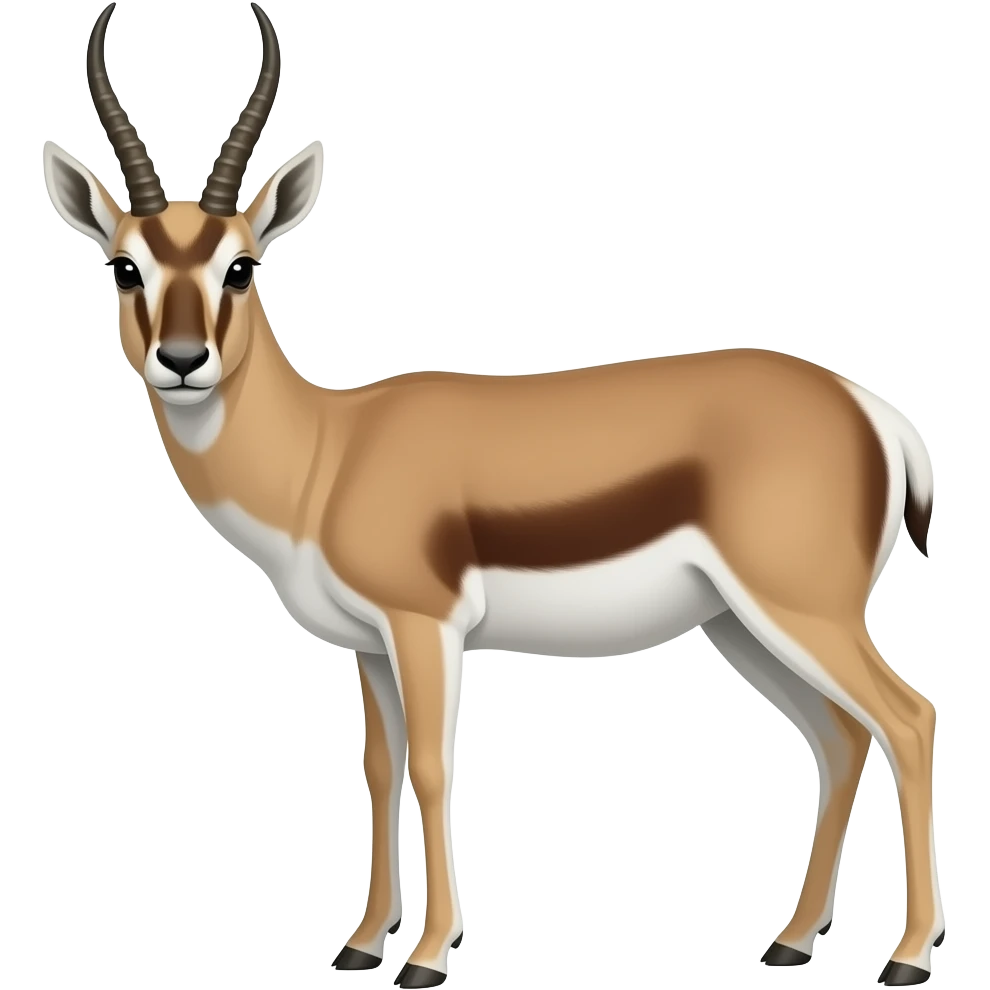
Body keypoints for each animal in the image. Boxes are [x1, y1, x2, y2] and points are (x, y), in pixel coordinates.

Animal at [42, 4, 941, 987]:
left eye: (243, 267)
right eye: (124, 268)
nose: (183, 360)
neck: (328, 453)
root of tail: (870, 410)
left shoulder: (424, 626)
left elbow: (435, 768)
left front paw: (429, 957)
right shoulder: (369, 645)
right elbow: (381, 768)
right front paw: (361, 945)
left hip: (803, 610)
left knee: (908, 719)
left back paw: (906, 958)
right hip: (740, 623)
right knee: (842, 738)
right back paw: (790, 941)